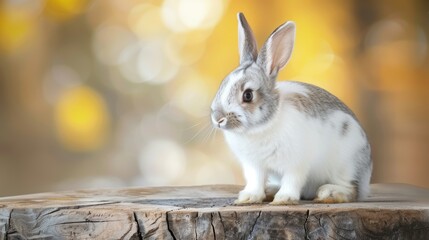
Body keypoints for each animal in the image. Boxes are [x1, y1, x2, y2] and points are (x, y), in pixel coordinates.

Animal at [211, 12, 372, 204]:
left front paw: (284, 199)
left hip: (346, 165)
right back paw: (270, 190)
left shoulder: (296, 163)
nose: (218, 119)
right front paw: (248, 198)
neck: (262, 128)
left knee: (352, 190)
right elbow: (255, 181)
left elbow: (293, 179)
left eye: (248, 95)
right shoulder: (254, 165)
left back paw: (329, 193)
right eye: (222, 85)